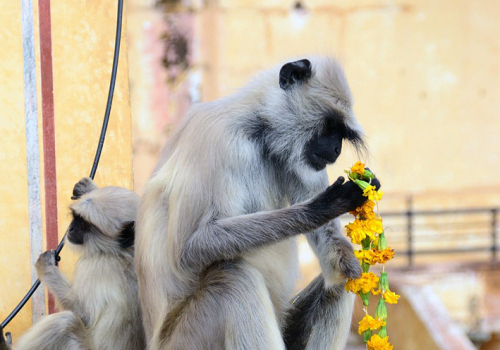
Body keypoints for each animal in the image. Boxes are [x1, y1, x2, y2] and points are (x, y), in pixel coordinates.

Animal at [14, 178, 146, 350]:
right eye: (76, 218)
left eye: (83, 225)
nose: (70, 229)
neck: (123, 252)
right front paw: (87, 188)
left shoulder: (94, 265)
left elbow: (83, 314)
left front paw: (45, 266)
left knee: (65, 321)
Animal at [135, 57, 380, 350]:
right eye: (330, 127)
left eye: (341, 134)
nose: (336, 150)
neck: (260, 134)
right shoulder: (216, 136)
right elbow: (188, 248)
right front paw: (320, 208)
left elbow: (337, 266)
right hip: (184, 340)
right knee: (234, 278)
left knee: (342, 279)